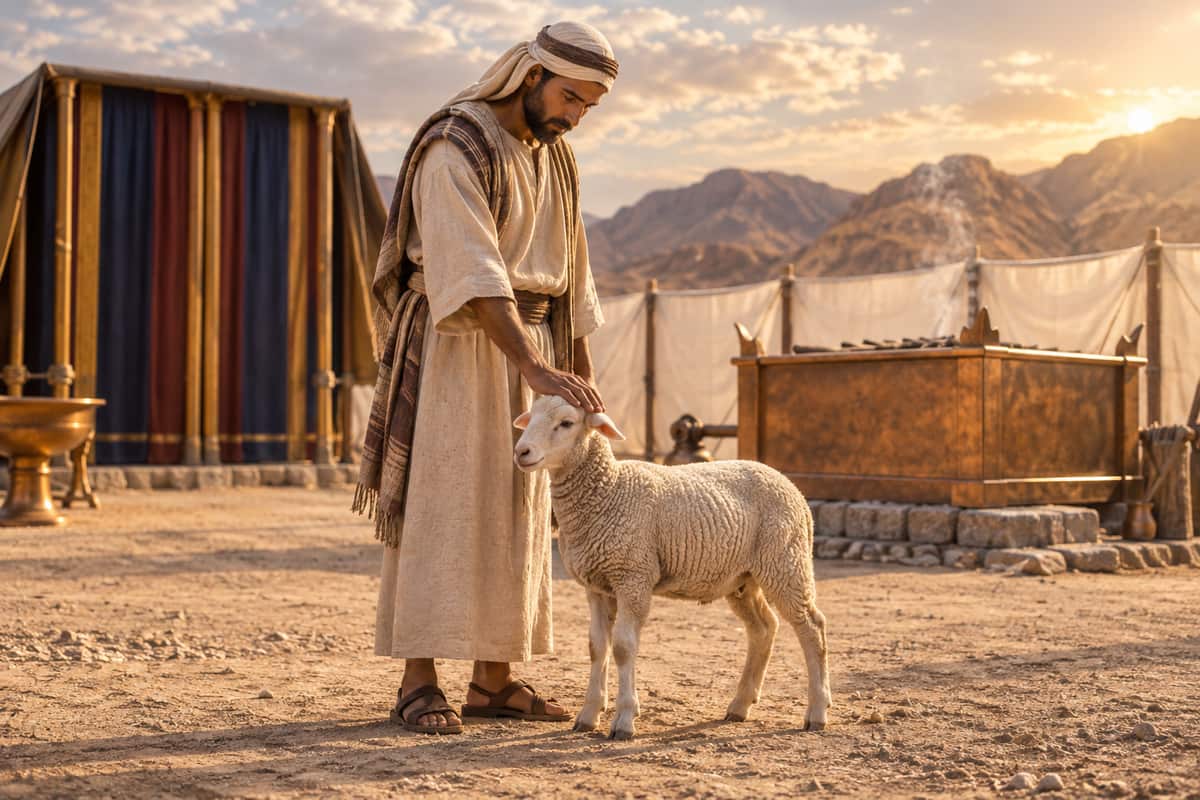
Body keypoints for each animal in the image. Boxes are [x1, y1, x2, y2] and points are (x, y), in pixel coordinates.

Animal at [513, 394, 831, 740]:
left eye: (567, 423)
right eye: (531, 417)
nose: (521, 451)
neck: (610, 490)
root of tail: (790, 485)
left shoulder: (633, 576)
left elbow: (623, 647)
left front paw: (624, 719)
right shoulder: (596, 585)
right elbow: (597, 647)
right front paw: (588, 715)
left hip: (785, 562)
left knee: (812, 628)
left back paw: (817, 711)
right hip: (742, 578)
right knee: (763, 628)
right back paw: (740, 705)